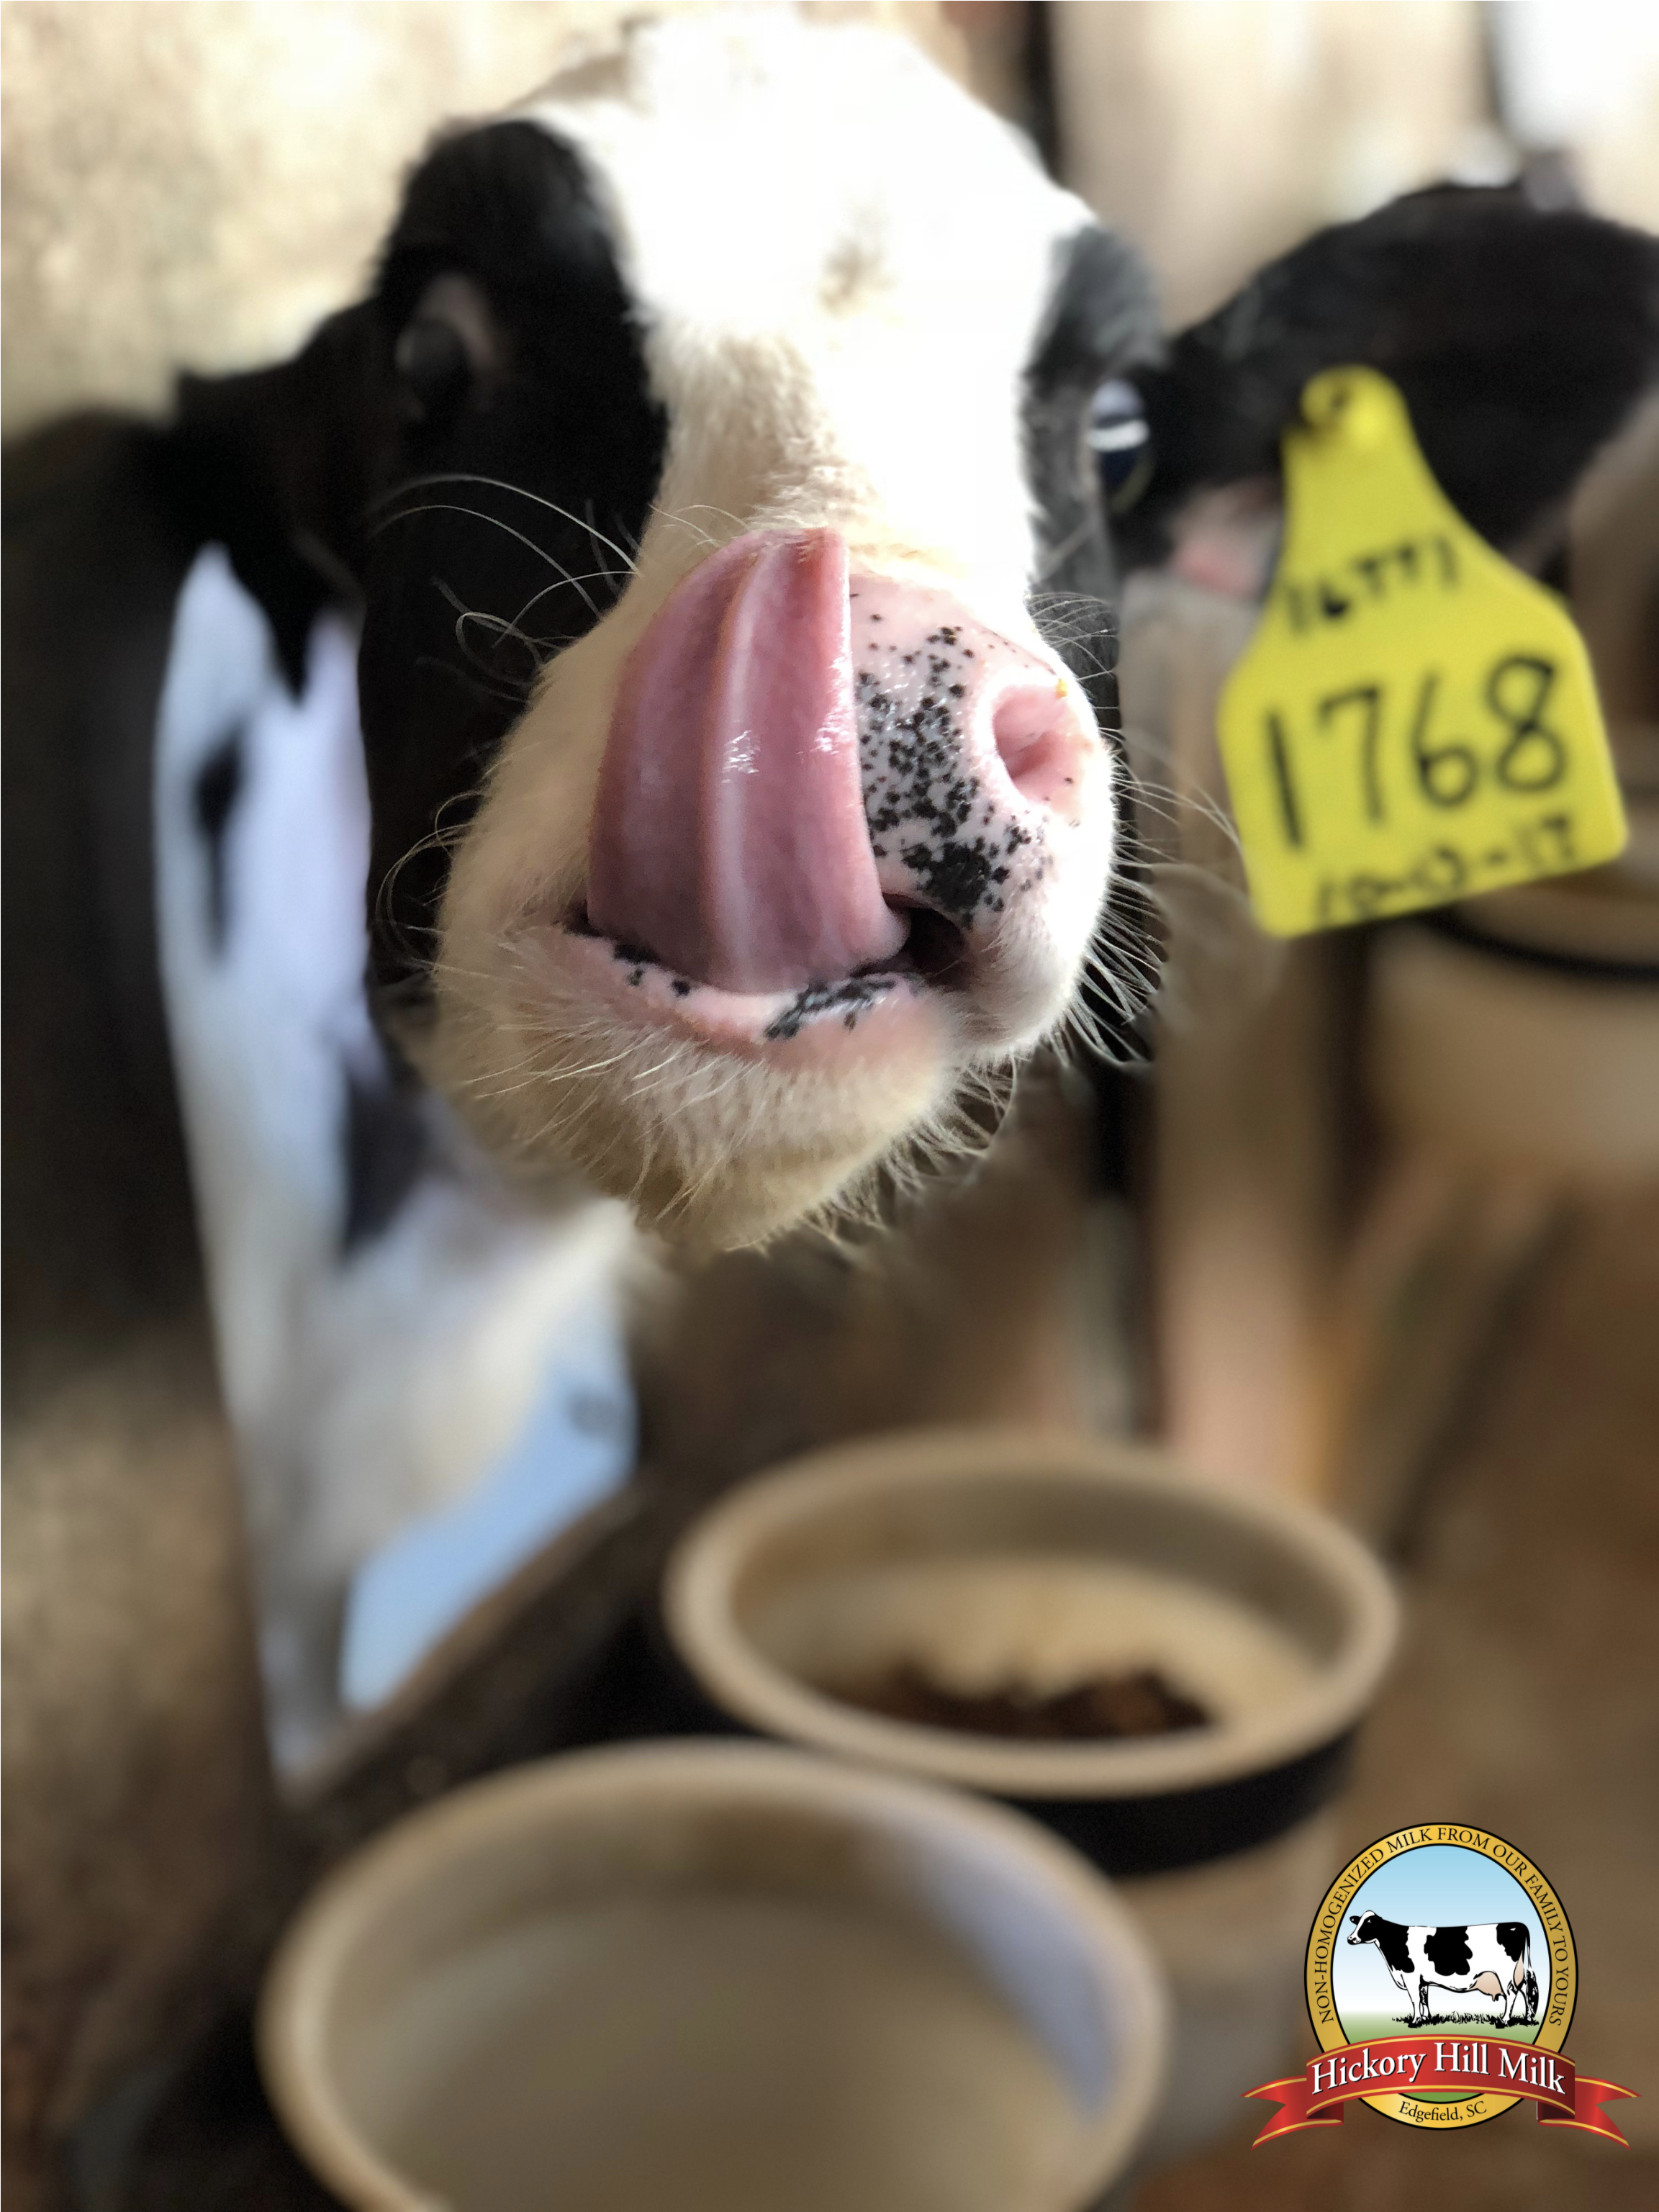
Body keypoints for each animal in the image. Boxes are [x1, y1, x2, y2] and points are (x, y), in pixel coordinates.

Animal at [1348, 1912, 1540, 2027]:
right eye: (1358, 1922)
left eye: (1368, 1924)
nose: (1350, 1938)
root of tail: (1517, 1925)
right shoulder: (1422, 1980)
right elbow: (1424, 1999)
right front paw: (1426, 2018)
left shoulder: (1410, 1976)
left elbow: (1415, 2000)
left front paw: (1415, 2021)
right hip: (1518, 1972)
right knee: (1526, 1990)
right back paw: (1528, 2018)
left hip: (1505, 1973)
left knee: (1511, 1993)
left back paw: (1505, 2020)